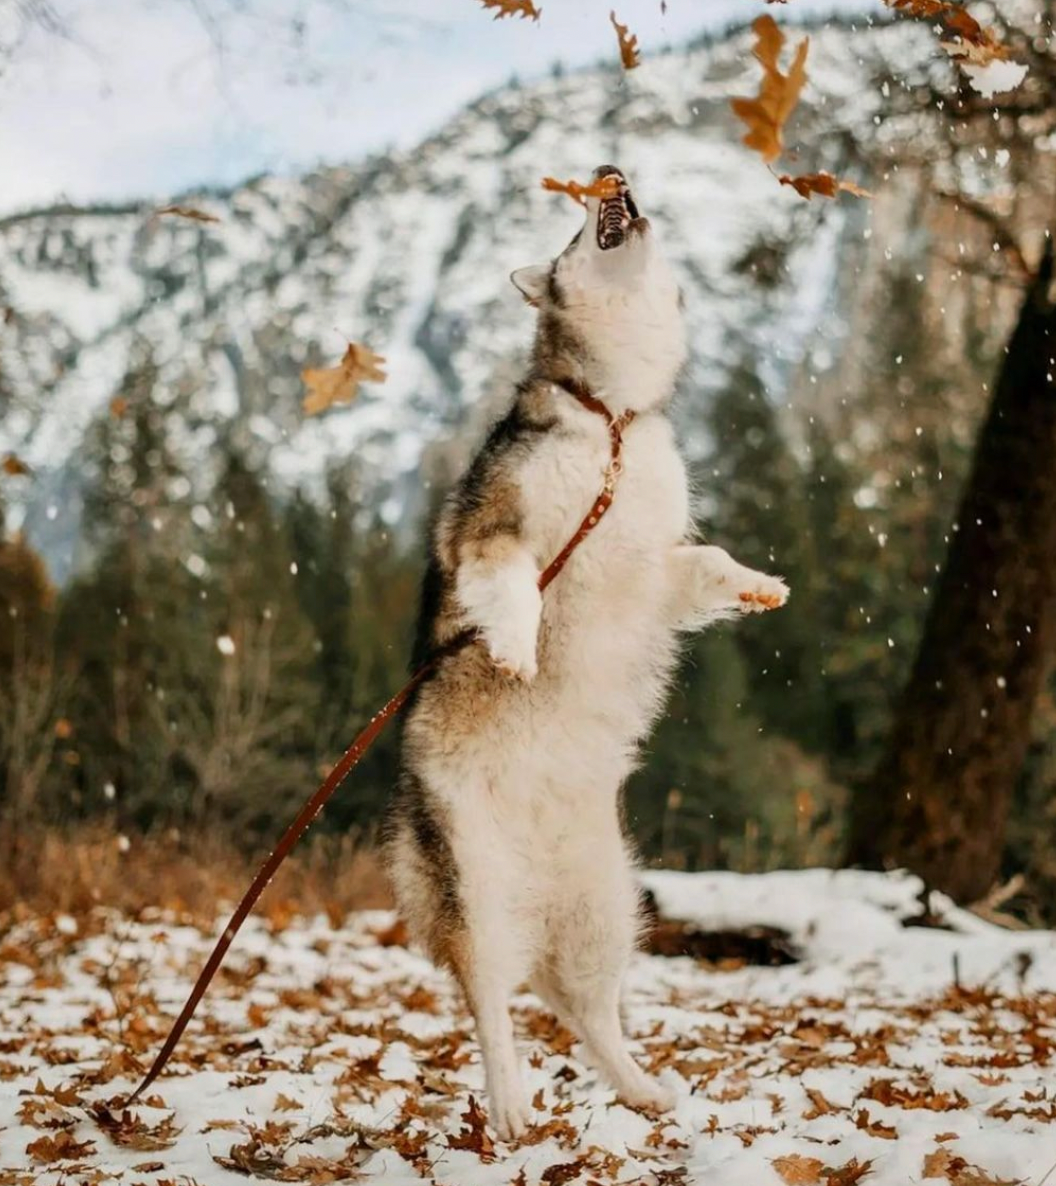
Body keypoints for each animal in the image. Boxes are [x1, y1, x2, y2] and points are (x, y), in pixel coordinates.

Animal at [382, 162, 787, 1133]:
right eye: (571, 234)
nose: (614, 173)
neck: (612, 417)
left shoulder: (655, 564)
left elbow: (706, 563)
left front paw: (757, 585)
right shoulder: (497, 529)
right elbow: (515, 586)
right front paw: (516, 646)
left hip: (608, 905)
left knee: (584, 1013)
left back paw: (641, 1089)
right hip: (476, 894)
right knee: (493, 1007)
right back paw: (510, 1104)